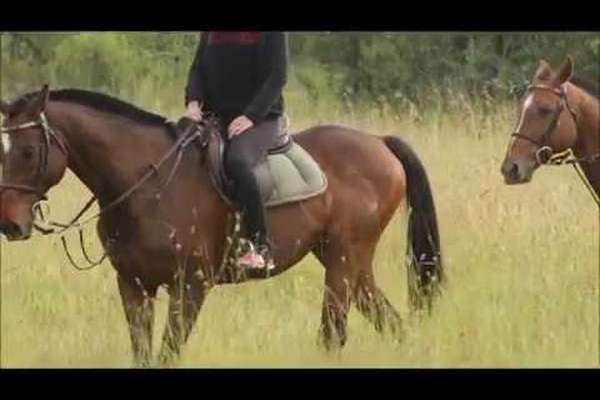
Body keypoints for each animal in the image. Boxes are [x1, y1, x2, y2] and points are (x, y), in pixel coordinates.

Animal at [0, 86, 440, 368]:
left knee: (333, 334)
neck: (147, 182)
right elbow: (143, 354)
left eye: (28, 151)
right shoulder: (133, 285)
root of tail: (379, 143)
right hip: (348, 260)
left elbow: (168, 354)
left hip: (343, 261)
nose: (10, 224)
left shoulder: (190, 285)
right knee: (388, 321)